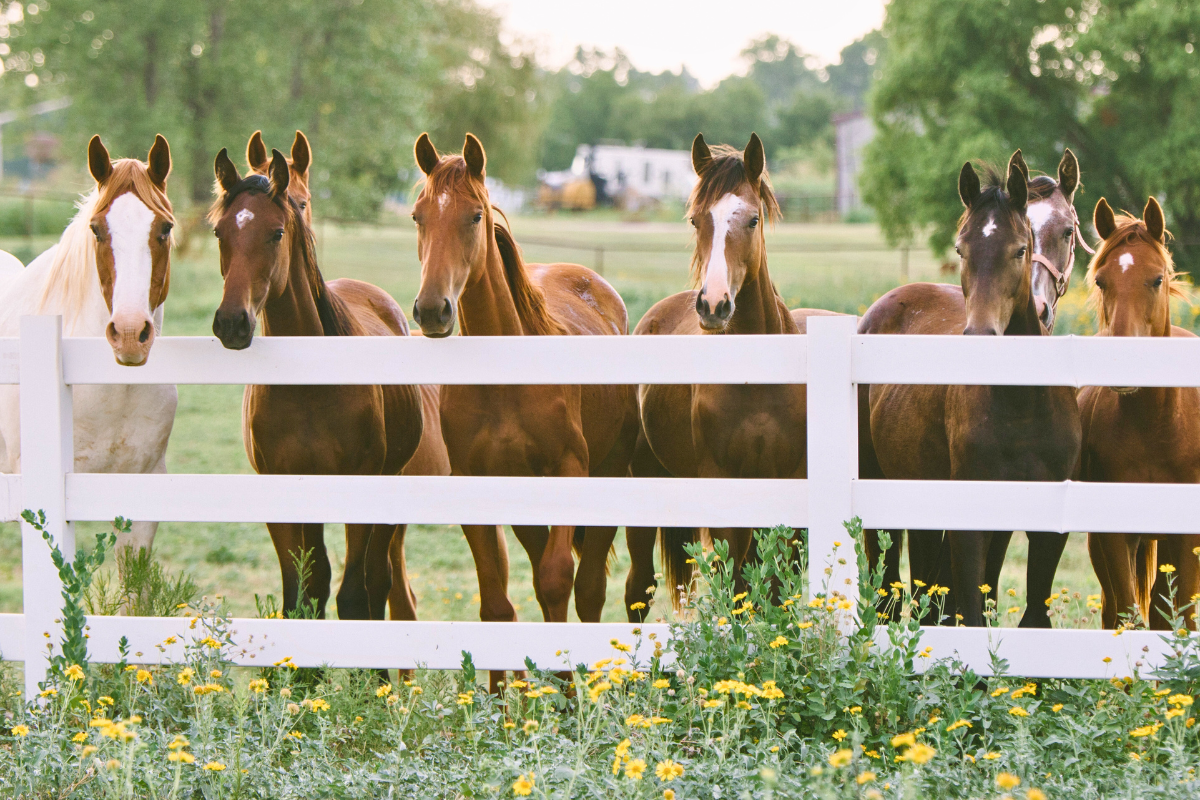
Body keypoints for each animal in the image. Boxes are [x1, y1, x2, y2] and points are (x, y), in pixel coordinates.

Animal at [210, 148, 437, 625]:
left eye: (277, 233)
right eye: (220, 231)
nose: (232, 323)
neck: (308, 387)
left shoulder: (361, 487)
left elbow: (351, 596)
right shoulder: (284, 491)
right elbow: (301, 596)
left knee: (378, 581)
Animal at [409, 133, 639, 656]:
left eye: (475, 215)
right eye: (418, 216)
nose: (432, 310)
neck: (506, 381)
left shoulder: (570, 472)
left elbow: (558, 582)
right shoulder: (477, 484)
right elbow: (497, 604)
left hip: (609, 473)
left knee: (588, 589)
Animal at [631, 133, 840, 611]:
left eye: (752, 220)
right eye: (696, 221)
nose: (713, 304)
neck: (755, 381)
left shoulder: (783, 491)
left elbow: (771, 591)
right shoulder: (726, 493)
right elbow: (737, 589)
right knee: (639, 585)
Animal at [859, 150, 1082, 628]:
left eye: (1020, 248)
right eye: (961, 248)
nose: (980, 335)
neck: (1022, 403)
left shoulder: (1045, 527)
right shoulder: (970, 520)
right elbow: (972, 614)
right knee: (888, 597)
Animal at [1080, 197, 1200, 630]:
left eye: (1157, 279)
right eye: (1102, 281)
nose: (1123, 362)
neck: (1157, 428)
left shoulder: (1187, 537)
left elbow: (1183, 615)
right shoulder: (1114, 536)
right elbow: (1128, 614)